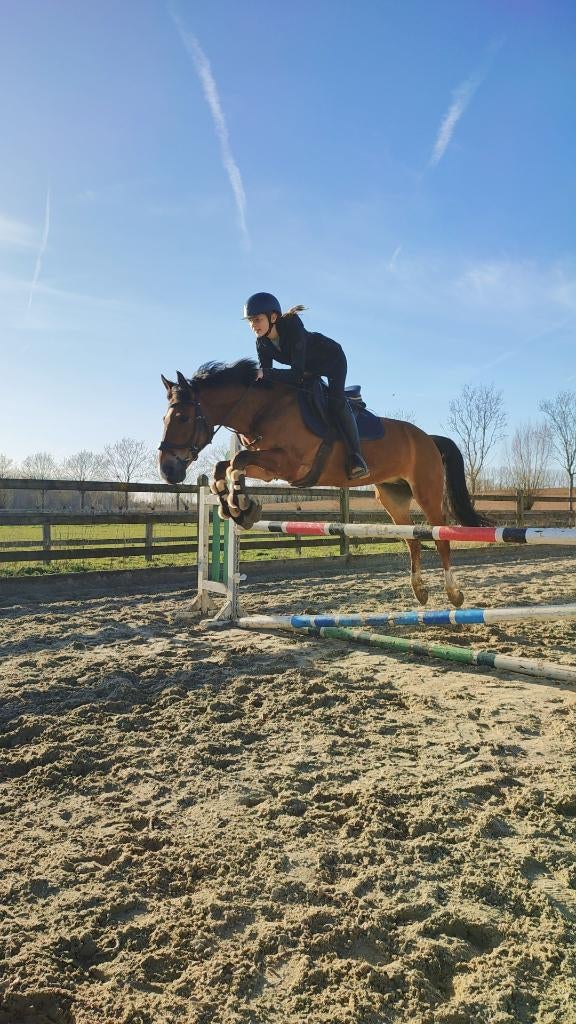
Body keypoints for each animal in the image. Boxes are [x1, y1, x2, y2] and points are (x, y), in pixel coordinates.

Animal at [158, 359, 488, 607]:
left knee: (441, 537)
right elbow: (224, 468)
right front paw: (235, 507)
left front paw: (242, 507)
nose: (167, 471)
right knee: (413, 540)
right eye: (164, 419)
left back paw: (454, 594)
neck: (265, 408)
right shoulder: (270, 467)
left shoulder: (288, 464)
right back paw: (420, 591)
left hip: (426, 492)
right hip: (392, 498)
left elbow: (237, 461)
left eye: (184, 418)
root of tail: (428, 438)